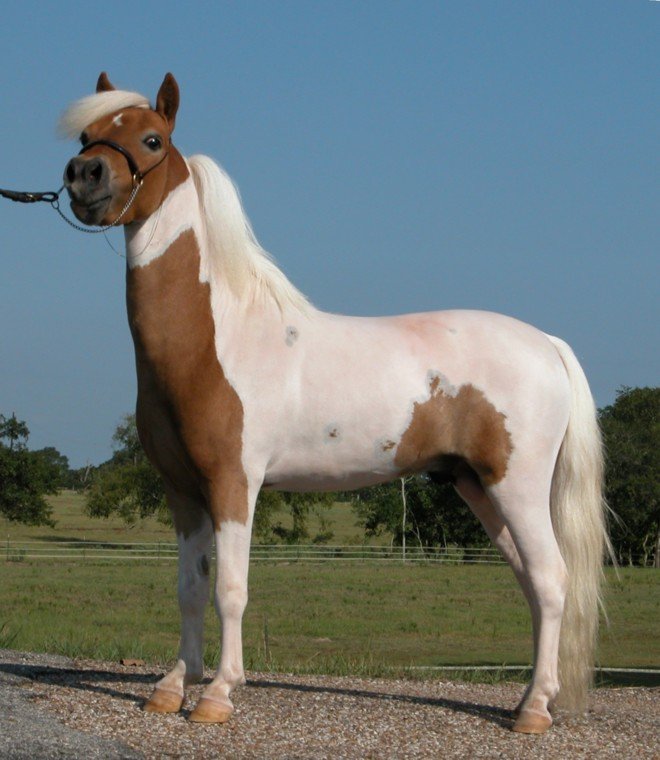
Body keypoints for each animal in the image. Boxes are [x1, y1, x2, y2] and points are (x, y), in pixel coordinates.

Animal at [60, 72, 610, 734]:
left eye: (151, 140)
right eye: (88, 134)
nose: (84, 175)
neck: (216, 339)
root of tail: (548, 344)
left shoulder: (233, 482)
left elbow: (230, 590)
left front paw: (218, 693)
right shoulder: (182, 489)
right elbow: (190, 588)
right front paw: (172, 687)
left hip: (518, 486)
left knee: (552, 580)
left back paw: (532, 711)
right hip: (477, 487)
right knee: (531, 583)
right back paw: (530, 697)